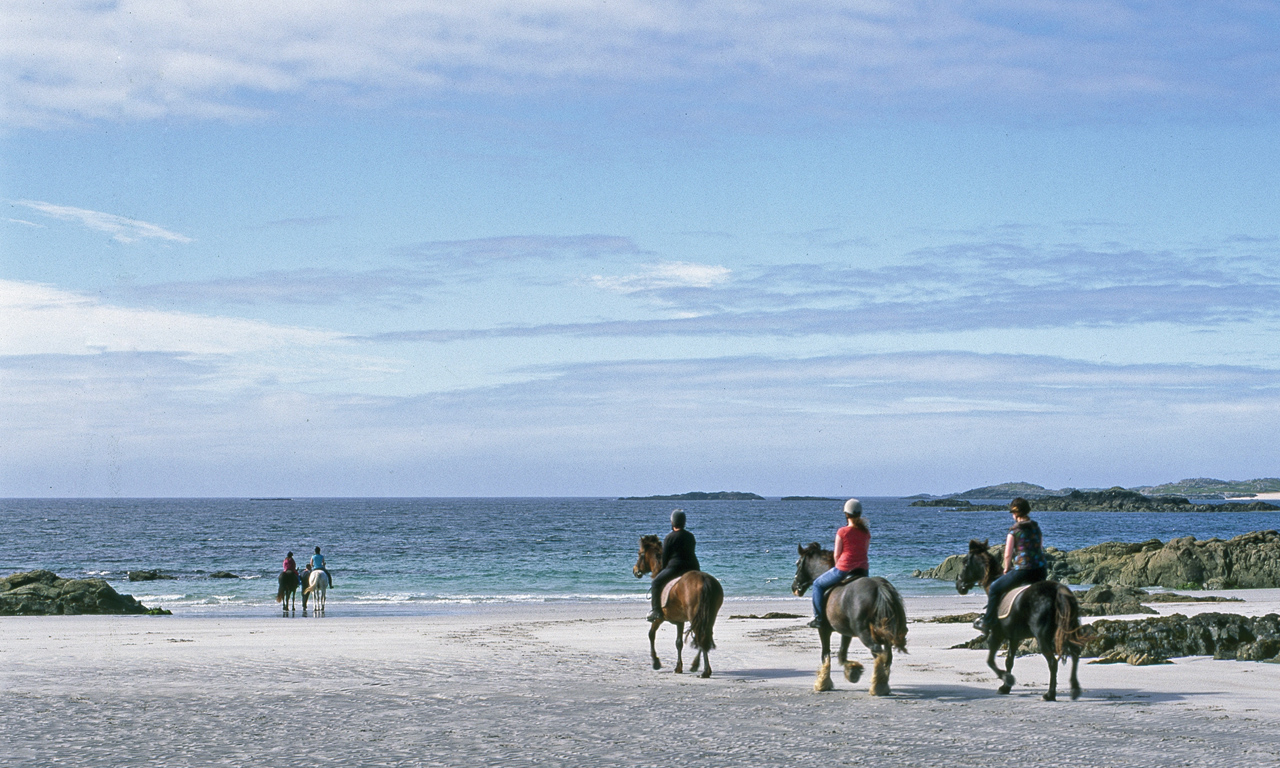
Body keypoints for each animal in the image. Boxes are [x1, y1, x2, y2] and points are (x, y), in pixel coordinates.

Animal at [634, 535, 727, 675]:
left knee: (700, 635)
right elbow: (678, 643)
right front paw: (678, 667)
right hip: (709, 616)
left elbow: (651, 634)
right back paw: (697, 666)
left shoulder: (660, 618)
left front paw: (656, 663)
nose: (635, 570)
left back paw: (704, 670)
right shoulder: (680, 621)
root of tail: (704, 579)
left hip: (695, 616)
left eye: (640, 554)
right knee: (705, 635)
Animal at [788, 540, 911, 696]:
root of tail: (879, 587)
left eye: (798, 563)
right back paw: (882, 684)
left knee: (878, 652)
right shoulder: (846, 632)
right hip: (883, 631)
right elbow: (842, 654)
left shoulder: (824, 630)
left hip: (864, 632)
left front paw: (822, 683)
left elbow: (825, 655)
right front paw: (853, 671)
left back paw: (878, 686)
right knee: (887, 656)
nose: (794, 587)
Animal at [957, 540, 1085, 701]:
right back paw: (1074, 689)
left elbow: (990, 660)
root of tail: (1057, 591)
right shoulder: (1014, 637)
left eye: (964, 562)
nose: (958, 585)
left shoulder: (997, 634)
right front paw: (1005, 687)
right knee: (1074, 654)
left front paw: (1007, 679)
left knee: (1052, 662)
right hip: (1066, 631)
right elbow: (1009, 661)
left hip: (1043, 637)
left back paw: (1050, 694)